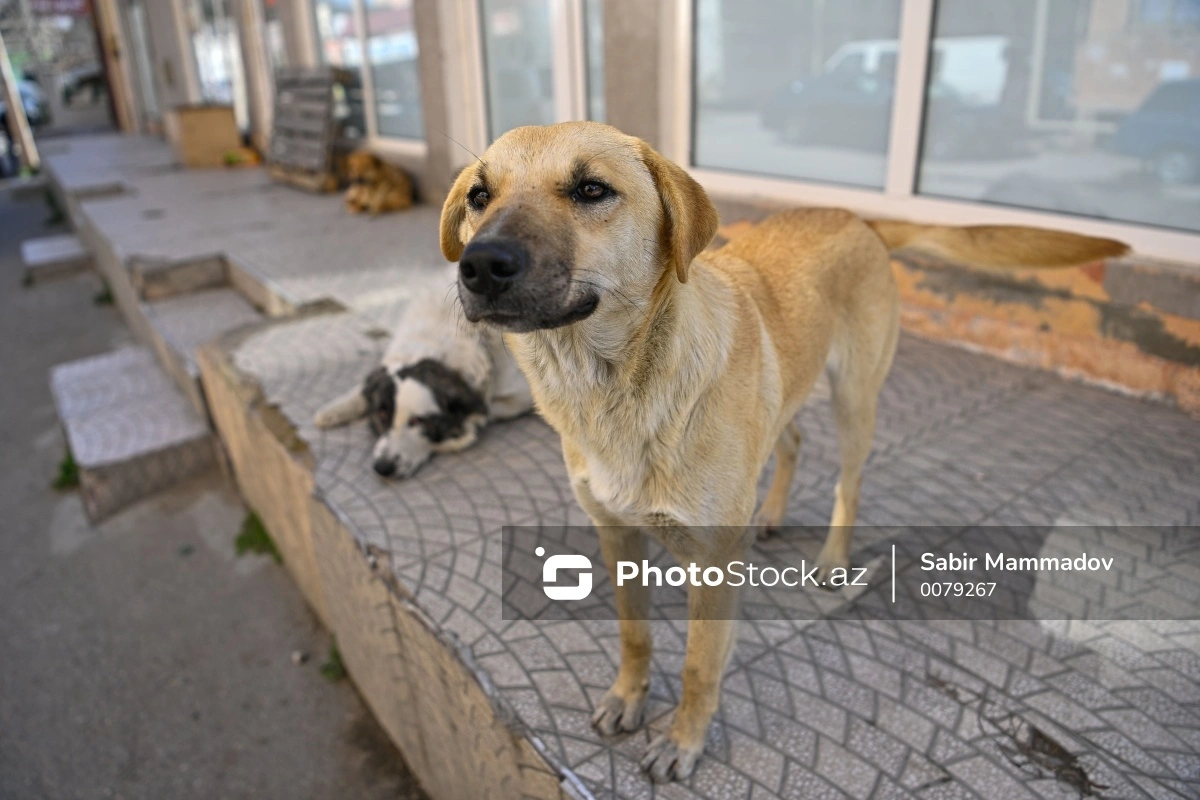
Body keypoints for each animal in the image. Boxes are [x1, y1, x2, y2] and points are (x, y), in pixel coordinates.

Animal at [316, 272, 532, 479]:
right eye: (382, 414)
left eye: (417, 421)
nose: (383, 468)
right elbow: (363, 387)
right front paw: (334, 410)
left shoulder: (520, 394)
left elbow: (487, 411)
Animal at [436, 120, 1128, 782]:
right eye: (479, 195)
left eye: (590, 190)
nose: (480, 264)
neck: (616, 390)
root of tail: (855, 215)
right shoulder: (616, 533)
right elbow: (634, 635)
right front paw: (628, 697)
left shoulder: (714, 567)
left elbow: (699, 666)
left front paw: (683, 741)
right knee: (792, 440)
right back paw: (768, 514)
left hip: (856, 397)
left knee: (849, 481)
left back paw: (831, 559)